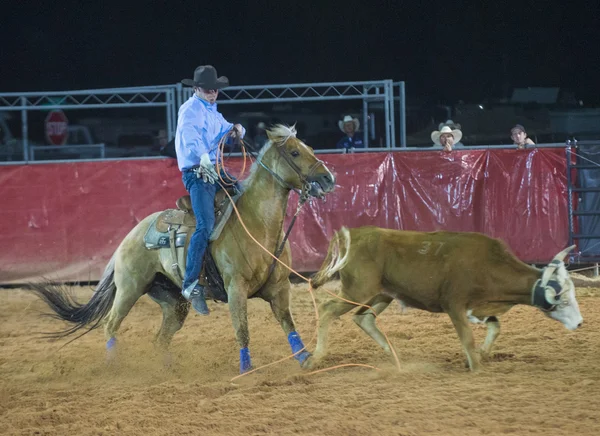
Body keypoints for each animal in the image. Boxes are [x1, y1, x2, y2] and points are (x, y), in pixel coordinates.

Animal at [29, 124, 338, 372]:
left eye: (310, 148)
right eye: (295, 153)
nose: (328, 179)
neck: (256, 224)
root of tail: (130, 236)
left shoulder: (279, 287)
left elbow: (288, 324)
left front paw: (305, 359)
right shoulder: (235, 288)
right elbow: (242, 329)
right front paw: (246, 369)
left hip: (173, 302)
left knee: (160, 338)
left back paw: (166, 369)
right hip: (129, 289)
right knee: (111, 324)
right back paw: (113, 365)